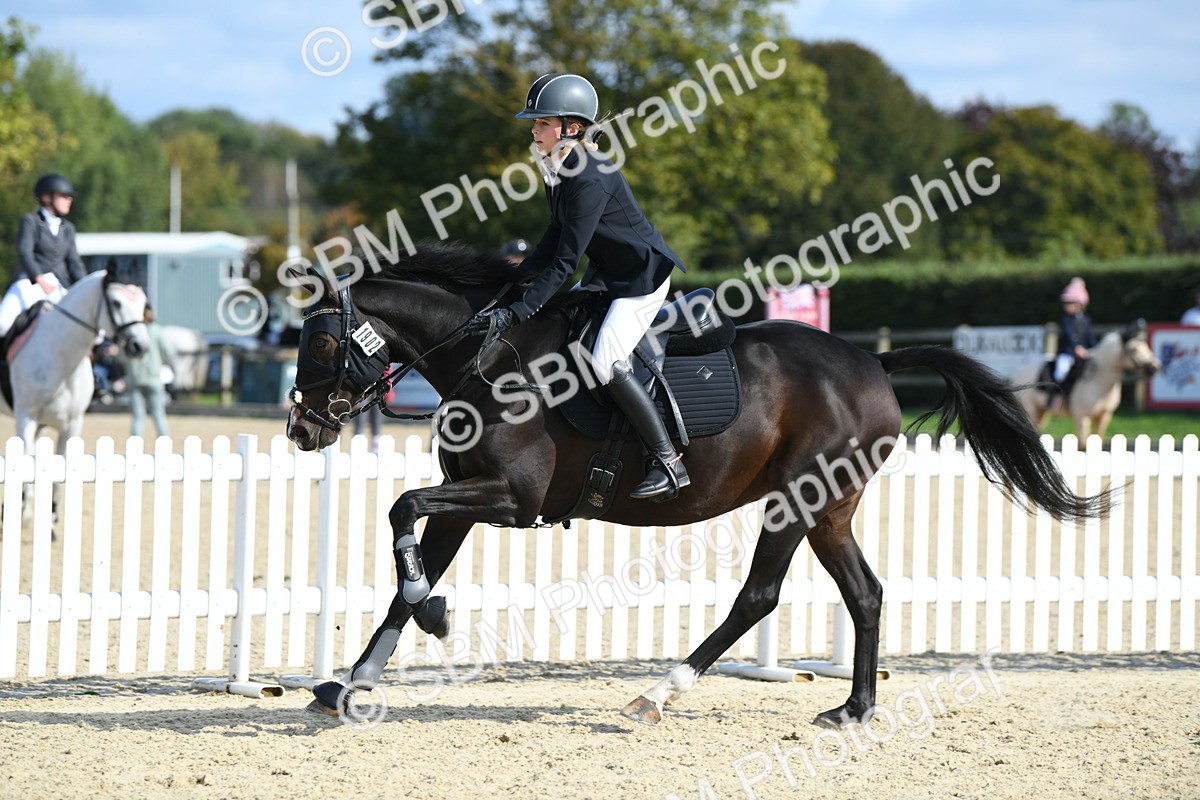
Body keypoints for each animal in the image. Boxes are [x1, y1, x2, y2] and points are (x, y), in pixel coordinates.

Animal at [0, 270, 150, 527]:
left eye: (141, 303)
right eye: (116, 302)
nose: (140, 346)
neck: (61, 358)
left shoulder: (71, 425)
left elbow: (59, 474)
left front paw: (50, 518)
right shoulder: (26, 418)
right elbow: (27, 466)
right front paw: (25, 515)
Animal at [284, 243, 1105, 728]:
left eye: (320, 341)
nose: (301, 430)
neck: (488, 356)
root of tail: (872, 363)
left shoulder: (513, 500)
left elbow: (402, 509)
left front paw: (432, 620)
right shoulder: (466, 499)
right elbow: (408, 563)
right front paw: (353, 682)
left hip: (800, 498)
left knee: (761, 594)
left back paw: (659, 693)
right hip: (829, 508)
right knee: (864, 593)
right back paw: (853, 709)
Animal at [1013, 324, 1161, 440]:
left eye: (1145, 346)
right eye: (1133, 349)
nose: (1154, 367)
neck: (1099, 383)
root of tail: (1022, 370)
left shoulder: (1104, 416)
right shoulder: (1082, 417)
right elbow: (1083, 444)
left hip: (1042, 412)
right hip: (1031, 409)